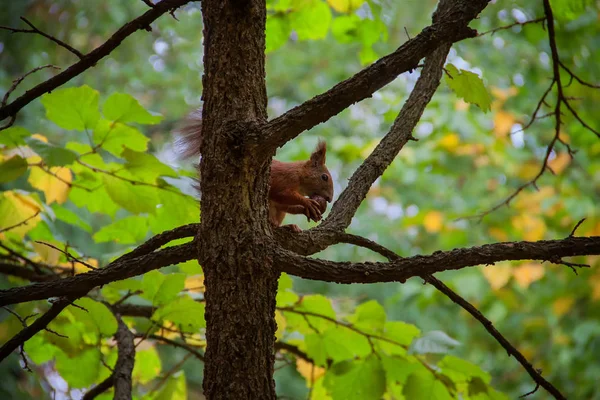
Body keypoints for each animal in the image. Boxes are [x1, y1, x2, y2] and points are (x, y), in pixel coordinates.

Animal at [176, 111, 336, 233]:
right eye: (324, 177)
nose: (329, 199)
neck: (299, 176)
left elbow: (284, 204)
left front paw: (306, 210)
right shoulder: (285, 179)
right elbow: (281, 194)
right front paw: (307, 202)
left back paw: (289, 226)